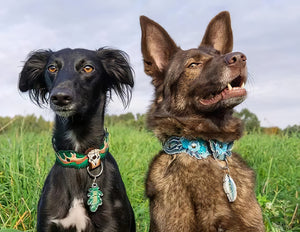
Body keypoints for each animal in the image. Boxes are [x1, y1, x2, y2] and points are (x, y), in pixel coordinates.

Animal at [18, 48, 135, 231]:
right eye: (52, 68)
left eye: (88, 68)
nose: (60, 97)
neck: (79, 158)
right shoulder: (47, 221)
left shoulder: (112, 223)